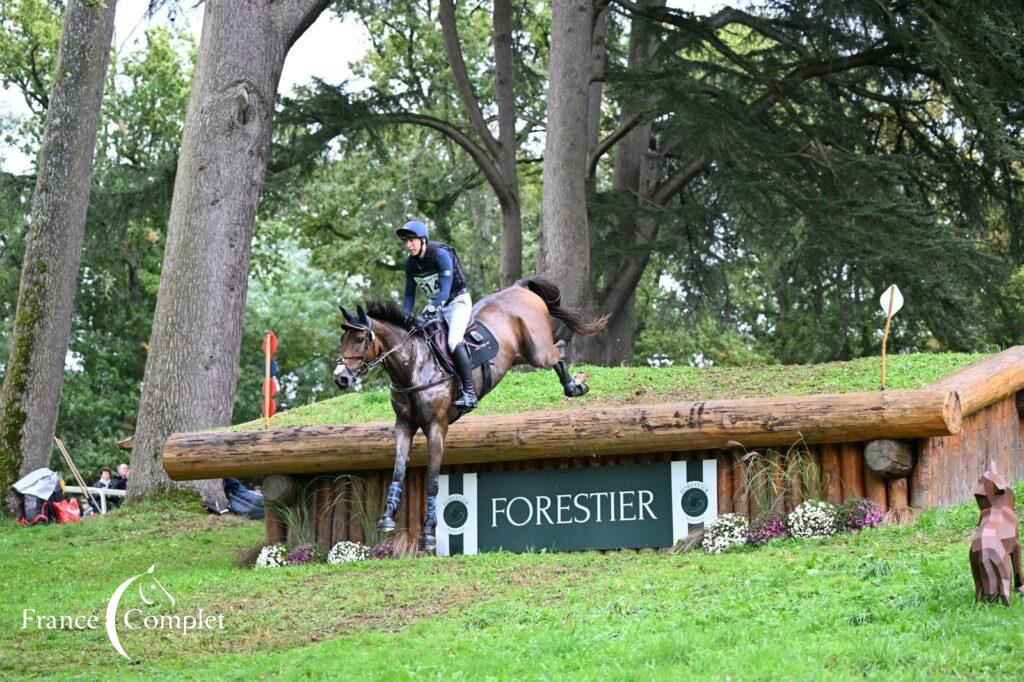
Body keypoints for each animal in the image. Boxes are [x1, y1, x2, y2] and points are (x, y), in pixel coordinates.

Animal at [333, 274, 606, 548]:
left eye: (359, 339)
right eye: (342, 339)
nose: (340, 378)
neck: (414, 365)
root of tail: (519, 289)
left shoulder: (437, 427)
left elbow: (432, 480)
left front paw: (429, 532)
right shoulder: (404, 425)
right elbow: (398, 471)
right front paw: (387, 517)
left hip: (538, 352)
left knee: (559, 351)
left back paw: (576, 385)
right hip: (518, 355)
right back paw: (573, 386)